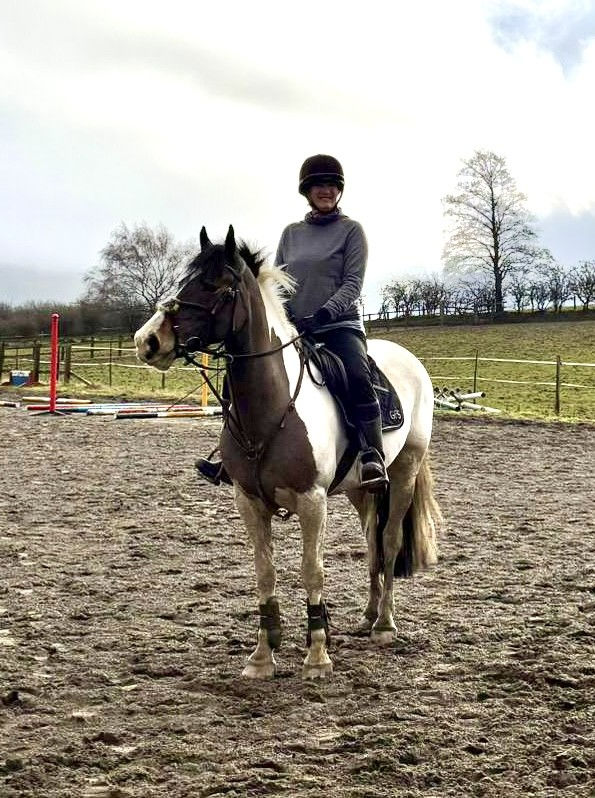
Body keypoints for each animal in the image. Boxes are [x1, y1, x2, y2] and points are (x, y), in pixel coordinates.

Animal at [134, 225, 441, 680]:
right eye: (185, 280)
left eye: (218, 286)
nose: (148, 340)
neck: (272, 407)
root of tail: (411, 361)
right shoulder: (248, 501)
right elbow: (266, 572)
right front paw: (263, 655)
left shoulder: (313, 502)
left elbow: (311, 571)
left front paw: (317, 655)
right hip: (360, 488)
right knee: (371, 539)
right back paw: (368, 615)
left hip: (404, 471)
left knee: (387, 541)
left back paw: (384, 624)